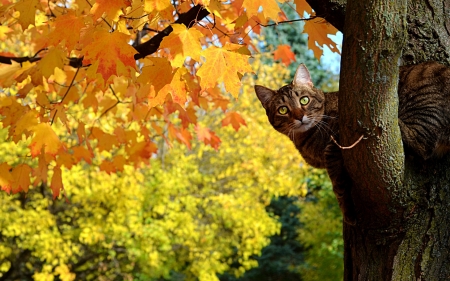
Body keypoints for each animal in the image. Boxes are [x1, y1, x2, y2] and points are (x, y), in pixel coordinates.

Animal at [255, 61, 450, 223]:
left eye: (304, 100)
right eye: (283, 110)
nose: (299, 116)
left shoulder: (333, 148)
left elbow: (338, 185)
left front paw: (347, 212)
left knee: (418, 142)